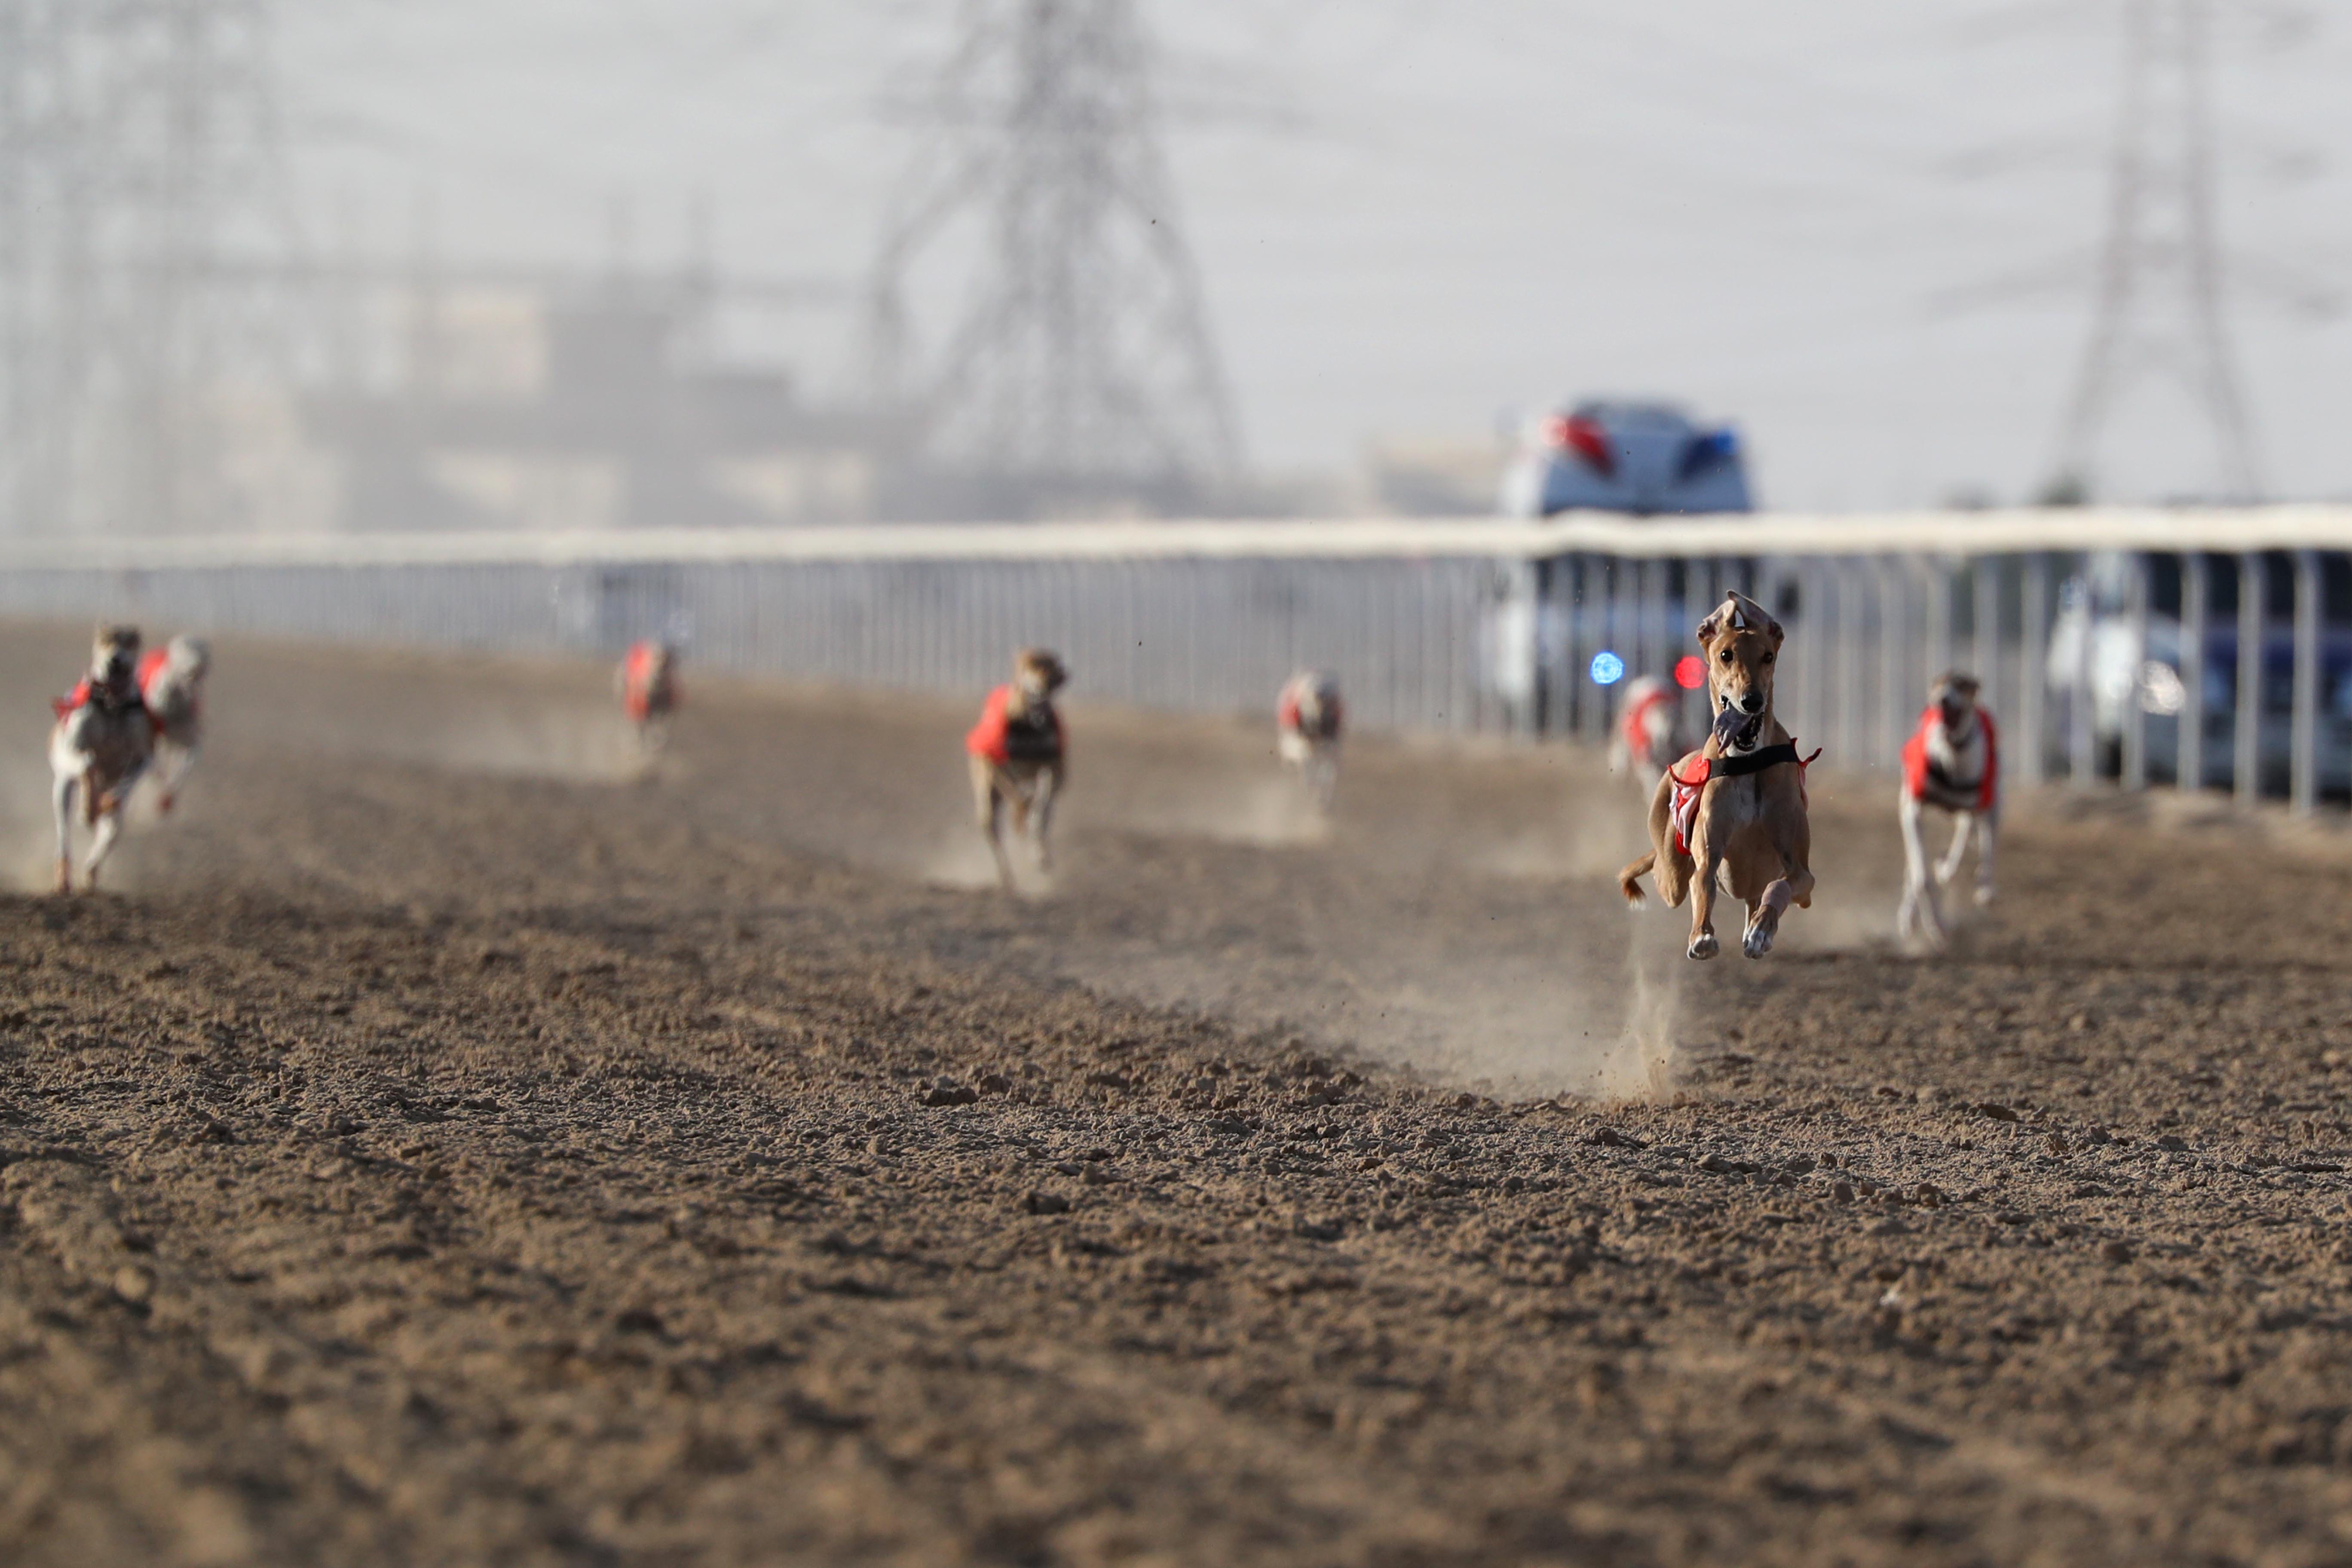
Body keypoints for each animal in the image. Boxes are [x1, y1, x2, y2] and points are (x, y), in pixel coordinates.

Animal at [49, 625, 156, 893]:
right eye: (104, 641)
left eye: (130, 642)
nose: (114, 660)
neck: (113, 705)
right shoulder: (71, 751)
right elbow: (87, 763)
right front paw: (88, 808)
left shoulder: (143, 759)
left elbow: (124, 787)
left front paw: (106, 801)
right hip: (61, 793)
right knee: (64, 836)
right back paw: (63, 879)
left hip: (115, 825)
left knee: (107, 836)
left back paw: (89, 878)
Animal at [136, 630, 210, 818]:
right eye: (185, 674)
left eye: (199, 673)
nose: (195, 701)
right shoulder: (148, 744)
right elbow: (157, 771)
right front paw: (164, 797)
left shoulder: (190, 743)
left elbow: (182, 770)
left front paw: (168, 798)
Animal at [1270, 668, 1345, 808]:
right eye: (1311, 685)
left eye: (1329, 686)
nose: (1318, 693)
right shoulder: (1303, 748)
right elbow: (1309, 771)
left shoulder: (1332, 750)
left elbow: (1328, 775)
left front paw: (1324, 798)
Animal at [1618, 588, 1816, 959]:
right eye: (1726, 655)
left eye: (1768, 656)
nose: (1752, 700)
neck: (1748, 762)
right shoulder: (1707, 858)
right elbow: (1703, 885)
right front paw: (1702, 936)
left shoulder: (1802, 873)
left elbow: (1780, 886)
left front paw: (1761, 932)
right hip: (1671, 875)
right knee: (1667, 876)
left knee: (1763, 895)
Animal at [1891, 672, 2004, 949]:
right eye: (1938, 685)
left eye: (1963, 685)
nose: (1942, 700)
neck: (1953, 755)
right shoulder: (1912, 809)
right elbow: (1921, 875)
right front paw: (1936, 925)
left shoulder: (1989, 805)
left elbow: (1988, 850)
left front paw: (1985, 890)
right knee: (1914, 868)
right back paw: (1909, 916)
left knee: (1969, 836)